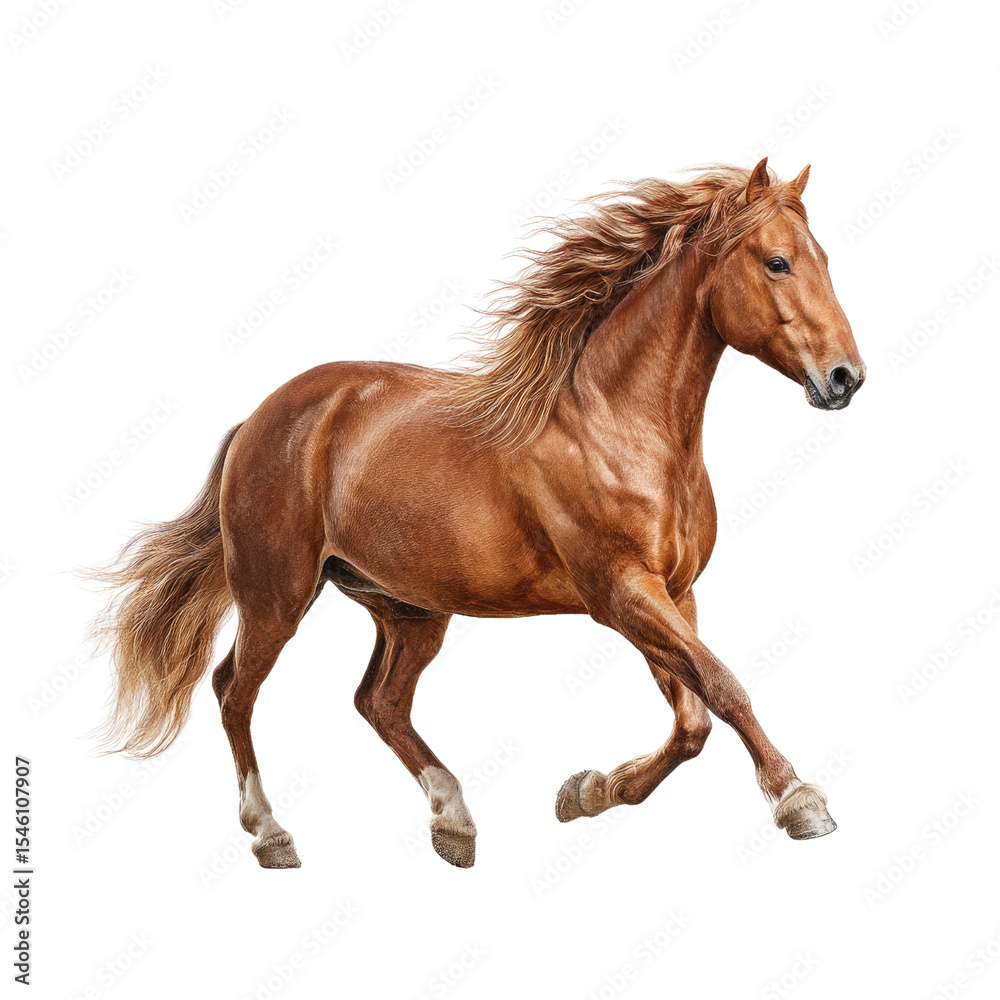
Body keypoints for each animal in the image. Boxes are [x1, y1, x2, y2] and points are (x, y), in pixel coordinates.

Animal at [92, 158, 865, 869]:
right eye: (777, 262)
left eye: (824, 259)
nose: (845, 379)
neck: (619, 425)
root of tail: (257, 419)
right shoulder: (623, 594)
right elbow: (723, 689)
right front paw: (801, 802)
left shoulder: (674, 593)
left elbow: (692, 720)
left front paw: (586, 792)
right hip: (275, 596)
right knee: (234, 691)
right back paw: (272, 834)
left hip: (408, 607)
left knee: (378, 701)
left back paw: (454, 823)